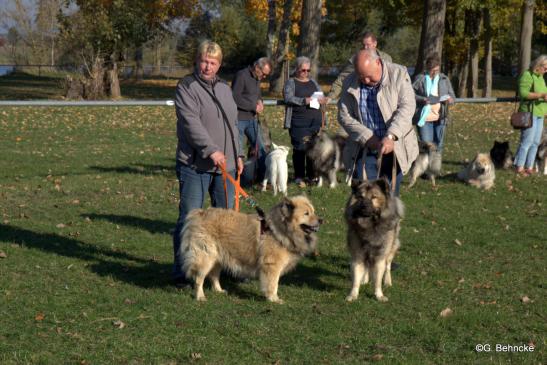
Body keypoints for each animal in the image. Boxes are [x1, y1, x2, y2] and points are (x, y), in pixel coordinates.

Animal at [182, 195, 324, 302]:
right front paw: (274, 298)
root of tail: (200, 214)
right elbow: (273, 283)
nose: (321, 220)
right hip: (206, 257)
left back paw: (219, 290)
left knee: (213, 275)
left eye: (313, 211)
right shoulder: (272, 266)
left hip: (217, 259)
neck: (282, 229)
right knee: (199, 278)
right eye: (306, 214)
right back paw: (200, 296)